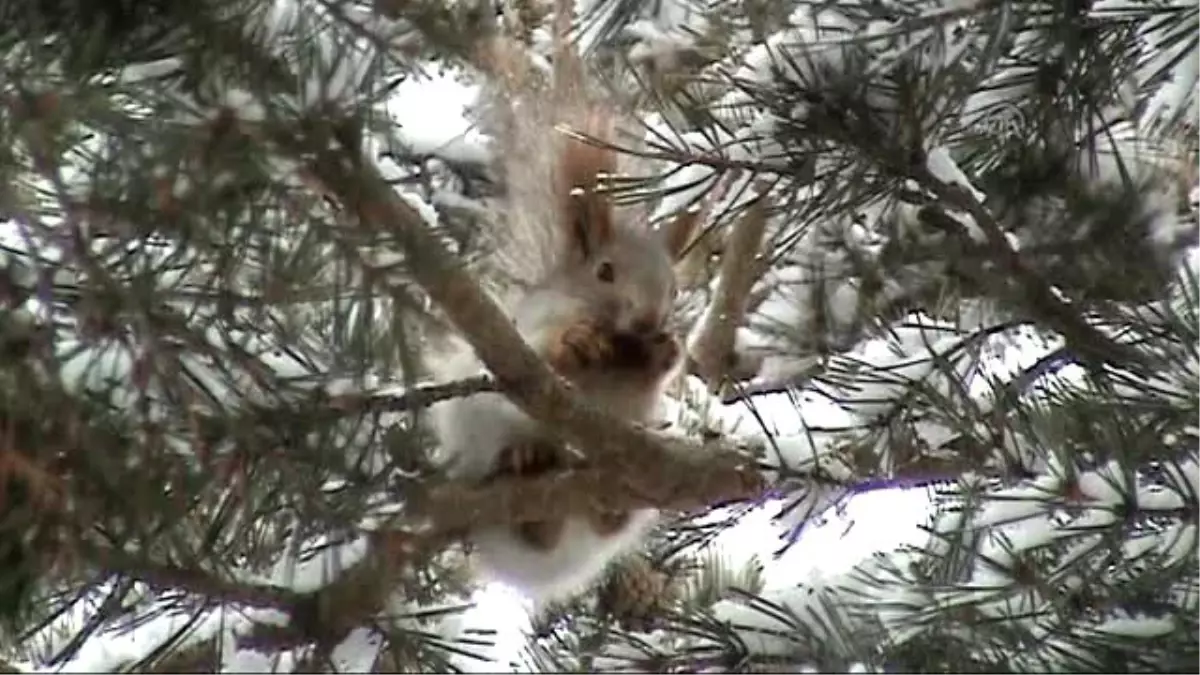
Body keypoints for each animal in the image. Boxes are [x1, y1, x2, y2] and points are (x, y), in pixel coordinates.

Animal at [427, 6, 700, 605]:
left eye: (675, 290)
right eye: (605, 272)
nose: (650, 320)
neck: (617, 348)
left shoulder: (639, 397)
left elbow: (651, 382)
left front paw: (666, 351)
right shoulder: (529, 330)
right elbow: (541, 351)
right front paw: (575, 341)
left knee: (604, 520)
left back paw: (603, 511)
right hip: (474, 431)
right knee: (530, 512)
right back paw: (528, 465)